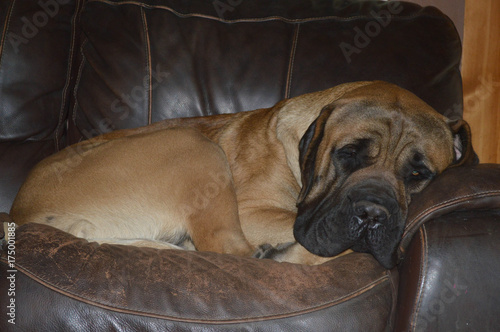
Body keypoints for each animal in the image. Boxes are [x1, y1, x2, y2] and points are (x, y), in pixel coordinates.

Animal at [9, 81, 474, 270]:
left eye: (419, 173)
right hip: (191, 145)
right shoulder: (251, 211)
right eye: (348, 155)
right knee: (224, 246)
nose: (373, 215)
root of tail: (20, 211)